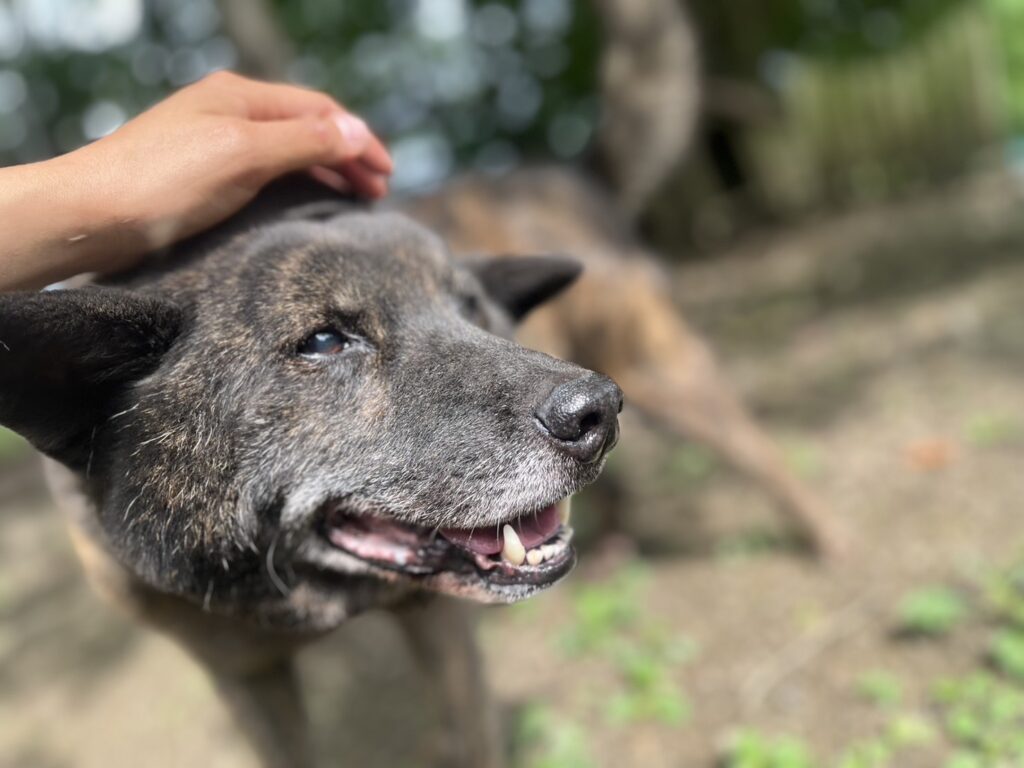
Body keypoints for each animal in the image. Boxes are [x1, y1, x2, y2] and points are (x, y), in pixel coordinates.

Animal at [0, 175, 621, 767]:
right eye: (323, 341)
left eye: (469, 307)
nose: (598, 410)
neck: (292, 592)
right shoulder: (244, 680)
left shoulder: (437, 621)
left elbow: (475, 737)